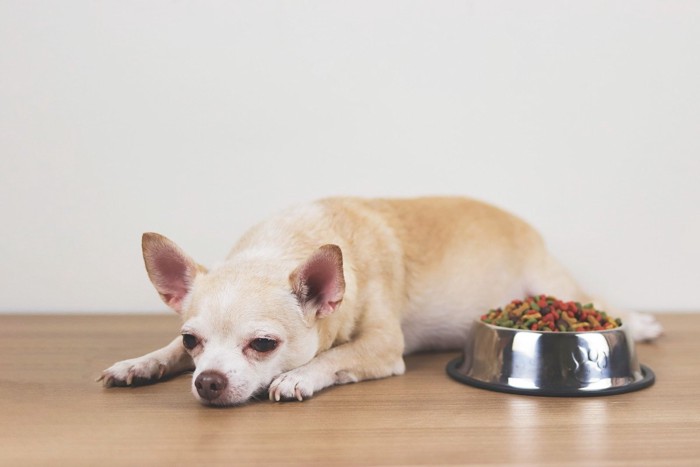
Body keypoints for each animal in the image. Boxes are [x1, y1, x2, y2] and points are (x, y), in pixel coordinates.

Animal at [100, 197, 660, 406]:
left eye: (262, 345)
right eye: (191, 341)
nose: (208, 382)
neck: (283, 245)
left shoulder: (384, 347)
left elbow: (336, 354)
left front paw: (298, 376)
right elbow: (161, 352)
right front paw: (140, 364)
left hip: (552, 283)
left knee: (597, 302)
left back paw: (640, 321)